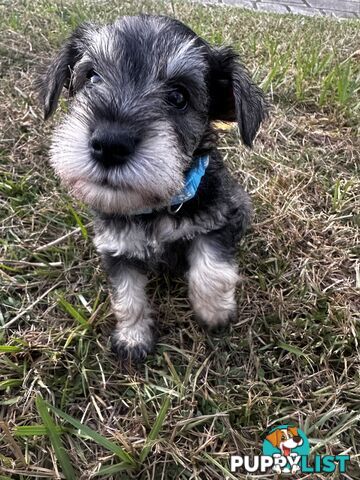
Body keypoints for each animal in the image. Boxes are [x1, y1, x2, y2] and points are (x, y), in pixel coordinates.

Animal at [39, 14, 266, 360]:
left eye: (179, 97)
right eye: (91, 77)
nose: (110, 144)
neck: (153, 207)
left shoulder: (216, 219)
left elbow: (211, 269)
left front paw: (215, 311)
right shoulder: (115, 249)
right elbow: (127, 296)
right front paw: (133, 337)